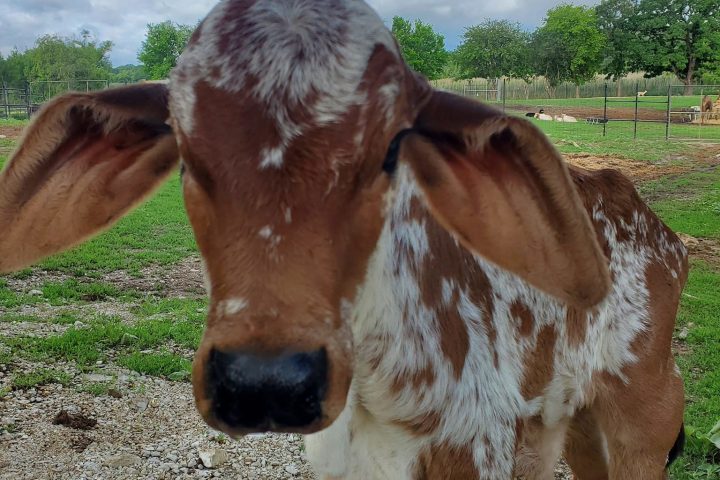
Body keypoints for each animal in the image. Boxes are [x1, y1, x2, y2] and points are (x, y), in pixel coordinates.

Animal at [0, 0, 687, 478]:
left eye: (391, 148)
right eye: (186, 153)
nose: (266, 384)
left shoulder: (477, 445)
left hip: (641, 422)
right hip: (569, 426)